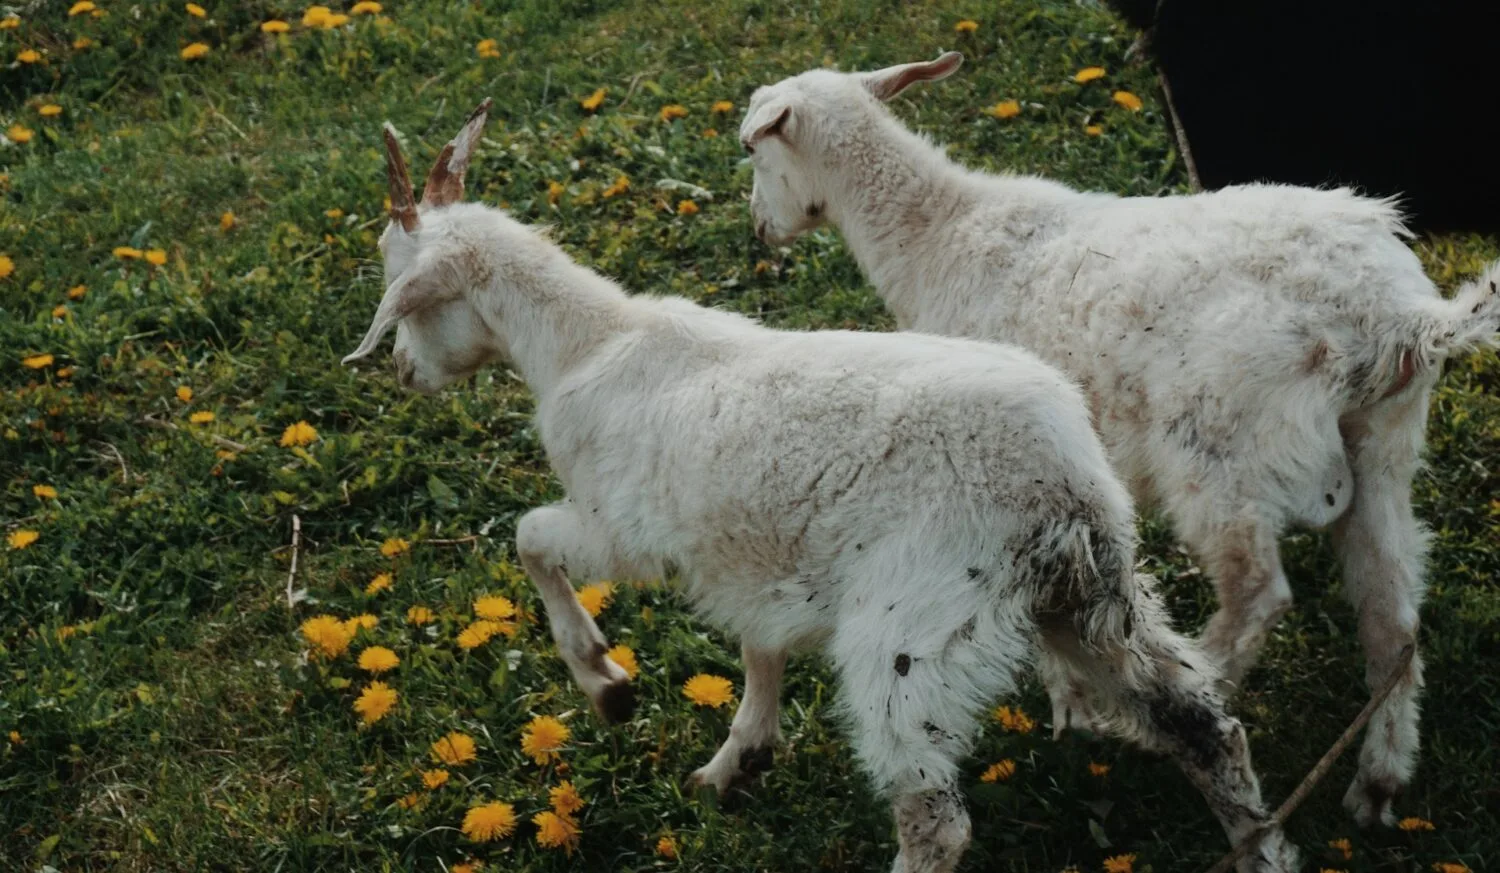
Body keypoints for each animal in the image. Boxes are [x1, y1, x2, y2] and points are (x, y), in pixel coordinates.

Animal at [341, 100, 1301, 873]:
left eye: (397, 280)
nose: (402, 374)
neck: (586, 343)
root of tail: (1061, 485)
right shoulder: (745, 550)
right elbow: (758, 646)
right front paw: (740, 758)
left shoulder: (622, 524)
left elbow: (531, 537)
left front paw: (606, 682)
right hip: (1096, 599)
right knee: (1205, 726)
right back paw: (1260, 848)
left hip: (915, 629)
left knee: (935, 820)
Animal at [739, 51, 1500, 828]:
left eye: (753, 150)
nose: (760, 229)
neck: (942, 234)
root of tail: (1398, 317)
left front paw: (1071, 700)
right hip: (1383, 446)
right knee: (1392, 619)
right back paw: (1377, 778)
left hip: (1219, 451)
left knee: (1256, 592)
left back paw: (1186, 689)